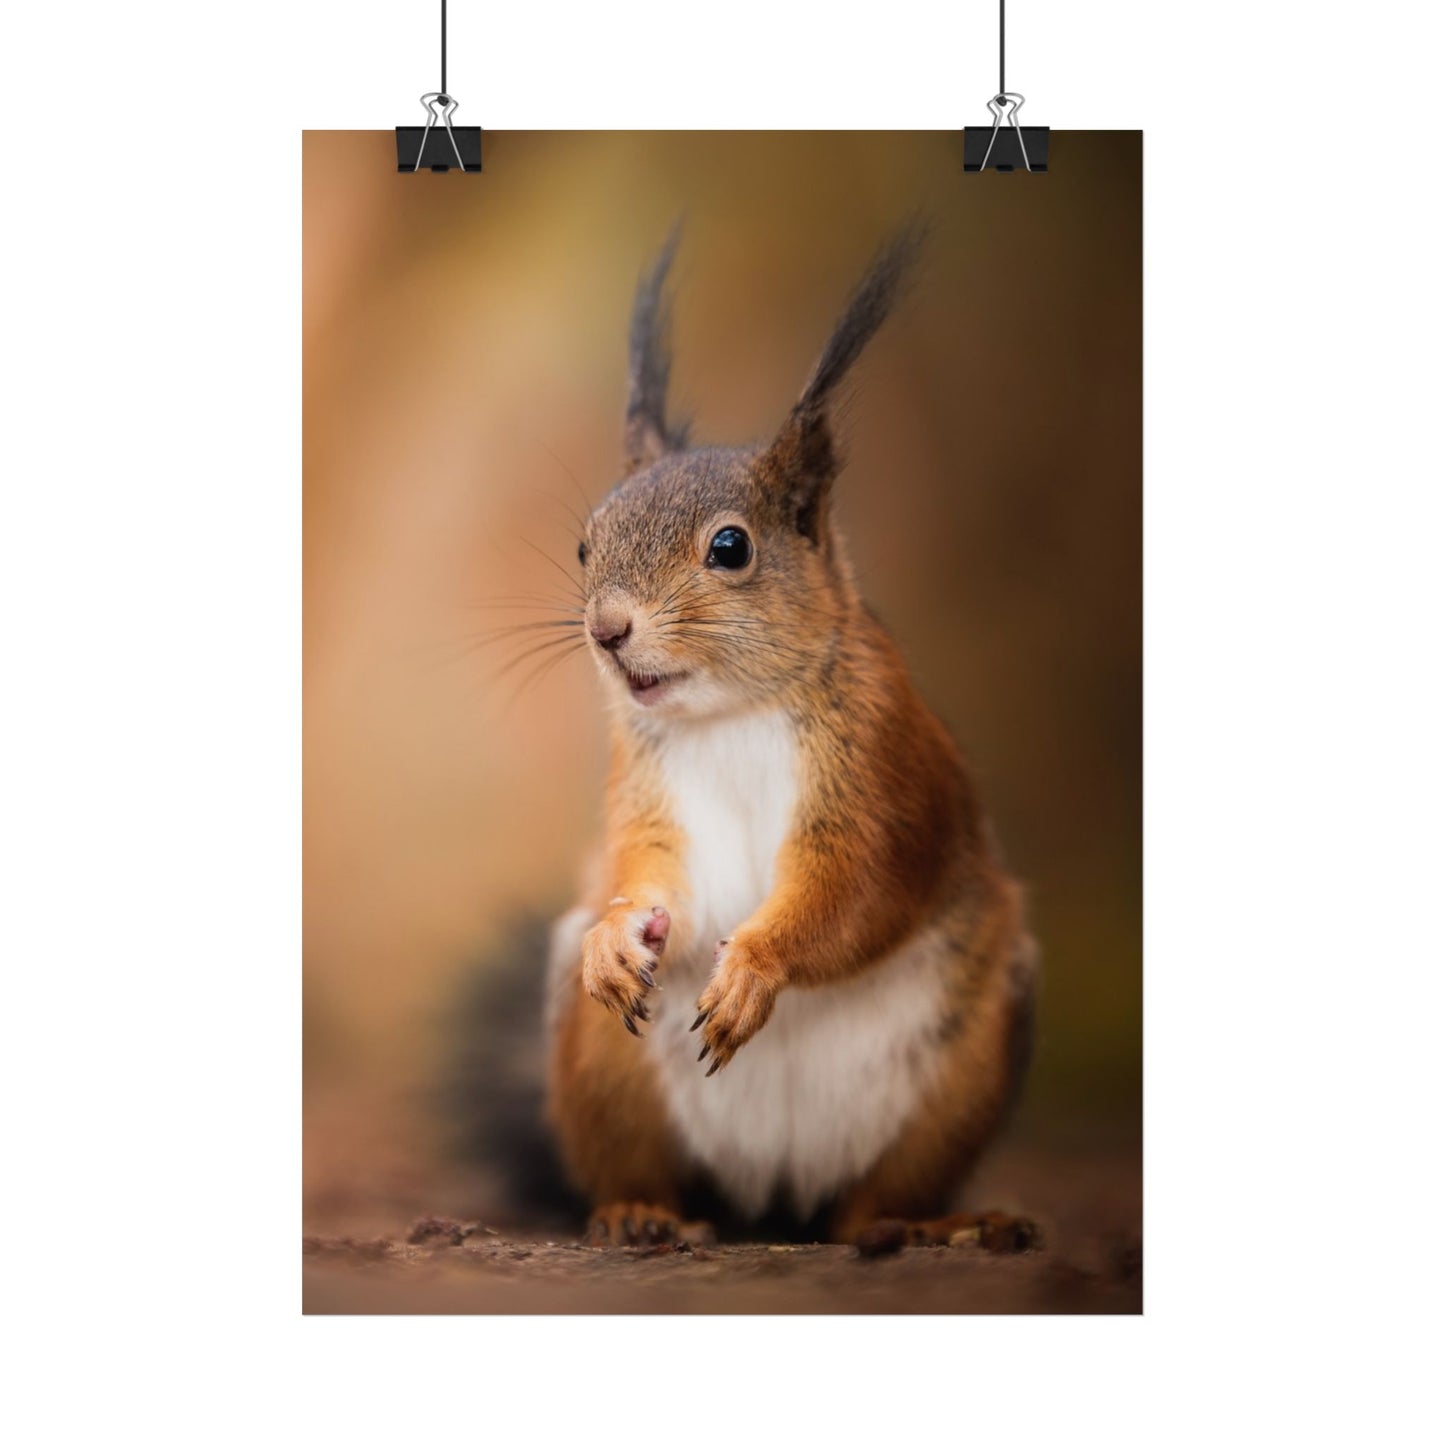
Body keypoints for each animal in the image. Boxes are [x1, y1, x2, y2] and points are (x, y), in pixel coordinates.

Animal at [544, 228, 1039, 1251]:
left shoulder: (883, 773)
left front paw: (755, 966)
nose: (606, 630)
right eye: (585, 542)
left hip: (963, 1062)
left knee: (870, 1203)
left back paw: (926, 1224)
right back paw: (639, 1212)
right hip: (603, 1068)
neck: (730, 713)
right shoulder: (645, 786)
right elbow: (650, 872)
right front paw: (618, 934)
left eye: (730, 548)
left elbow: (857, 889)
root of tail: (772, 1194)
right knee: (649, 1169)